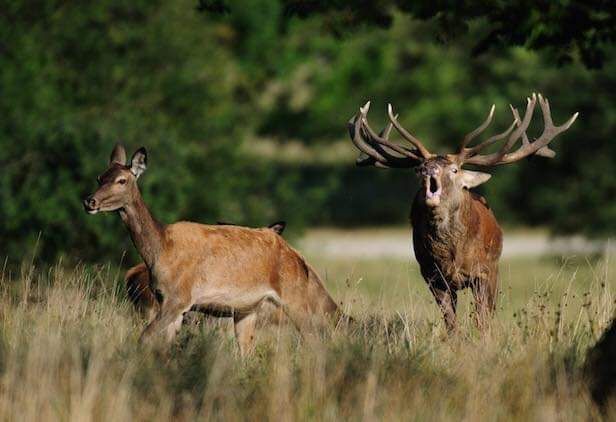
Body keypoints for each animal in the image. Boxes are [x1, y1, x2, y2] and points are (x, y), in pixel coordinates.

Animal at [83, 147, 340, 352]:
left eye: (122, 180)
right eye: (99, 177)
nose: (89, 201)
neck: (161, 250)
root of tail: (299, 259)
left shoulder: (179, 298)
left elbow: (144, 338)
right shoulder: (168, 301)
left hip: (294, 297)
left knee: (315, 340)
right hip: (247, 310)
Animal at [346, 94, 576, 332]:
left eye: (454, 170)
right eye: (420, 167)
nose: (428, 169)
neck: (453, 255)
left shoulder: (485, 271)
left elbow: (483, 319)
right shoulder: (432, 276)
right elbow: (451, 322)